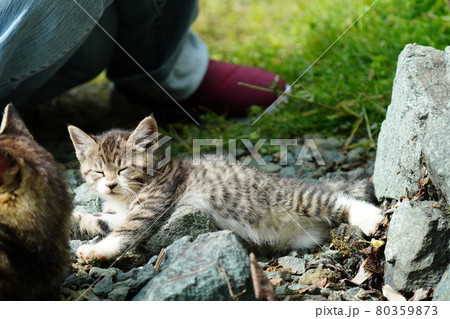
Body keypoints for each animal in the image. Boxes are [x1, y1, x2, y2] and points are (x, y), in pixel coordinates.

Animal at [67, 115, 384, 262]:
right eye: (98, 171)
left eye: (123, 169)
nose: (110, 184)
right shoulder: (118, 211)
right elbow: (102, 221)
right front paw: (72, 222)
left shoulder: (155, 201)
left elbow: (128, 229)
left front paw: (98, 250)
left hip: (296, 198)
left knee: (339, 199)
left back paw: (370, 217)